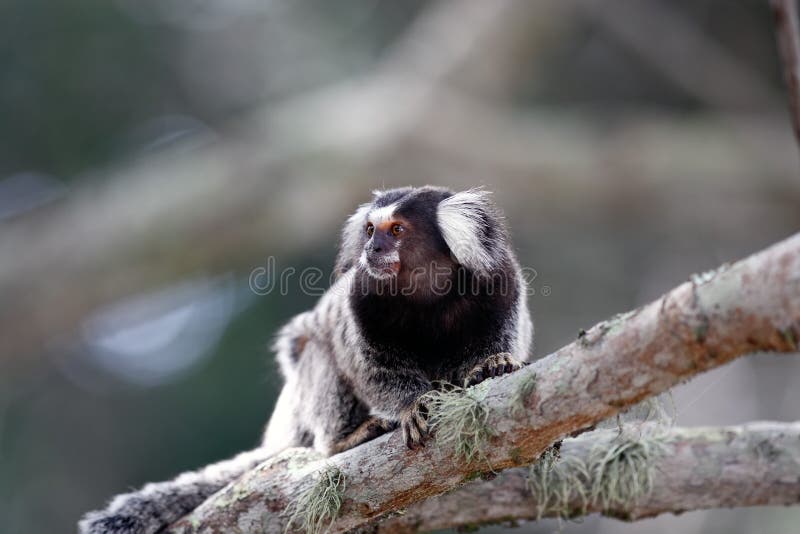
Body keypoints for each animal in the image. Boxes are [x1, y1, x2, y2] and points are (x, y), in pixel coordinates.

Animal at [79, 185, 532, 534]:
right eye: (371, 230)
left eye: (398, 230)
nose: (373, 248)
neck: (426, 293)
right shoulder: (361, 299)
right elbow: (369, 366)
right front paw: (411, 405)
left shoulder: (498, 277)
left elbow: (504, 338)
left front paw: (492, 365)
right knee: (318, 354)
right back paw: (346, 438)